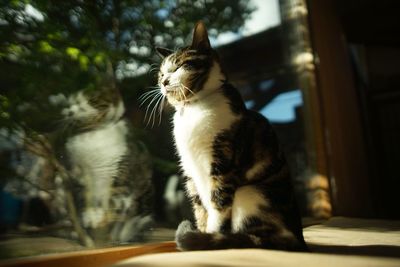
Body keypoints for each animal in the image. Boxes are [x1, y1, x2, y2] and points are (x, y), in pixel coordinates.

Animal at [155, 22, 308, 252]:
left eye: (178, 67)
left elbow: (218, 205)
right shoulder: (190, 171)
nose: (164, 81)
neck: (193, 109)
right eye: (161, 73)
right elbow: (200, 209)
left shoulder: (222, 164)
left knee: (265, 238)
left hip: (249, 192)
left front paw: (210, 237)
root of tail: (300, 239)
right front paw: (201, 234)